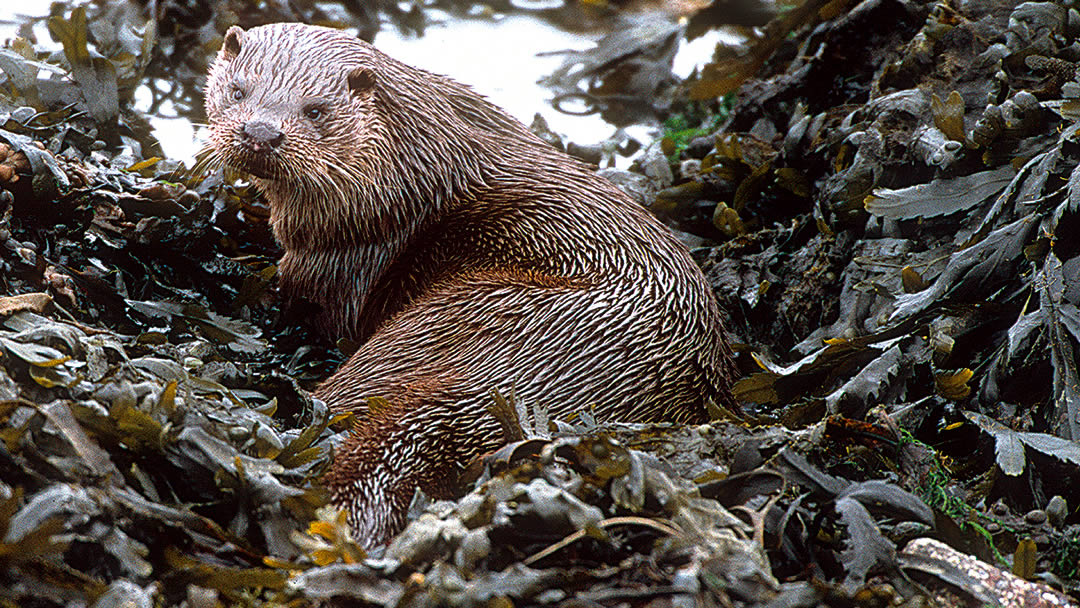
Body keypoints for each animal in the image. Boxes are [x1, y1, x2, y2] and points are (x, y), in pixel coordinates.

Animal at [206, 22, 738, 546]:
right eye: (238, 90)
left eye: (315, 110)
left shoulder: (336, 258)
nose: (260, 132)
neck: (398, 181)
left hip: (452, 313)